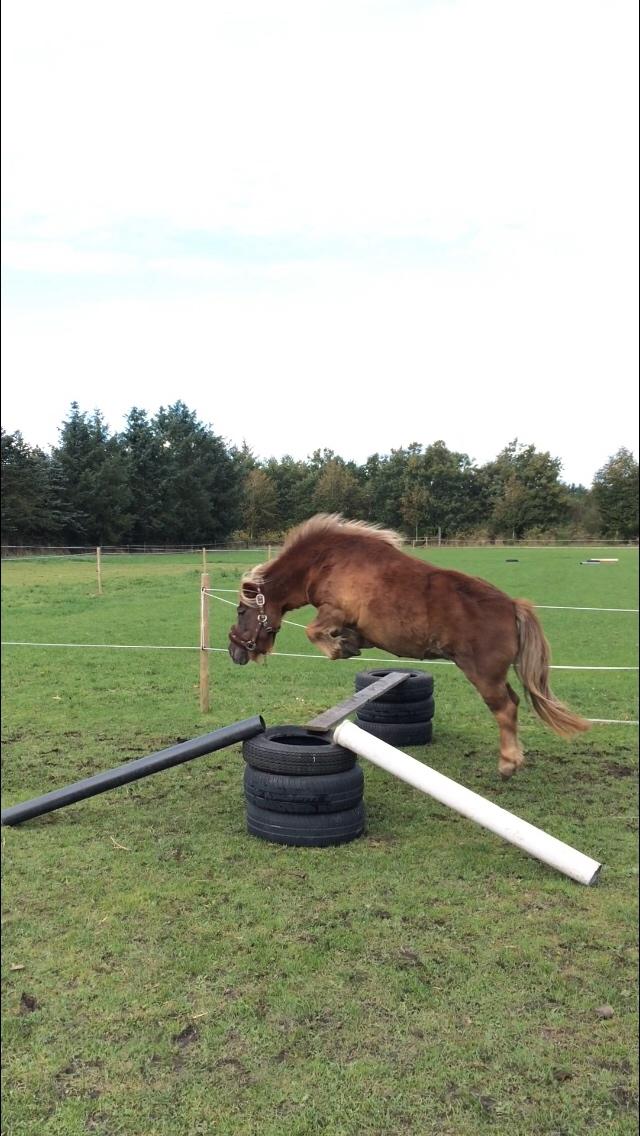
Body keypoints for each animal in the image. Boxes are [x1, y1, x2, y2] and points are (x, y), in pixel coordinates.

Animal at [230, 518, 591, 777]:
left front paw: (339, 648)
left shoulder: (335, 611)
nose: (234, 651)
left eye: (241, 611)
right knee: (513, 702)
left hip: (483, 675)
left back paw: (507, 763)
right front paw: (347, 644)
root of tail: (512, 606)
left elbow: (313, 631)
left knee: (505, 709)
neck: (325, 561)